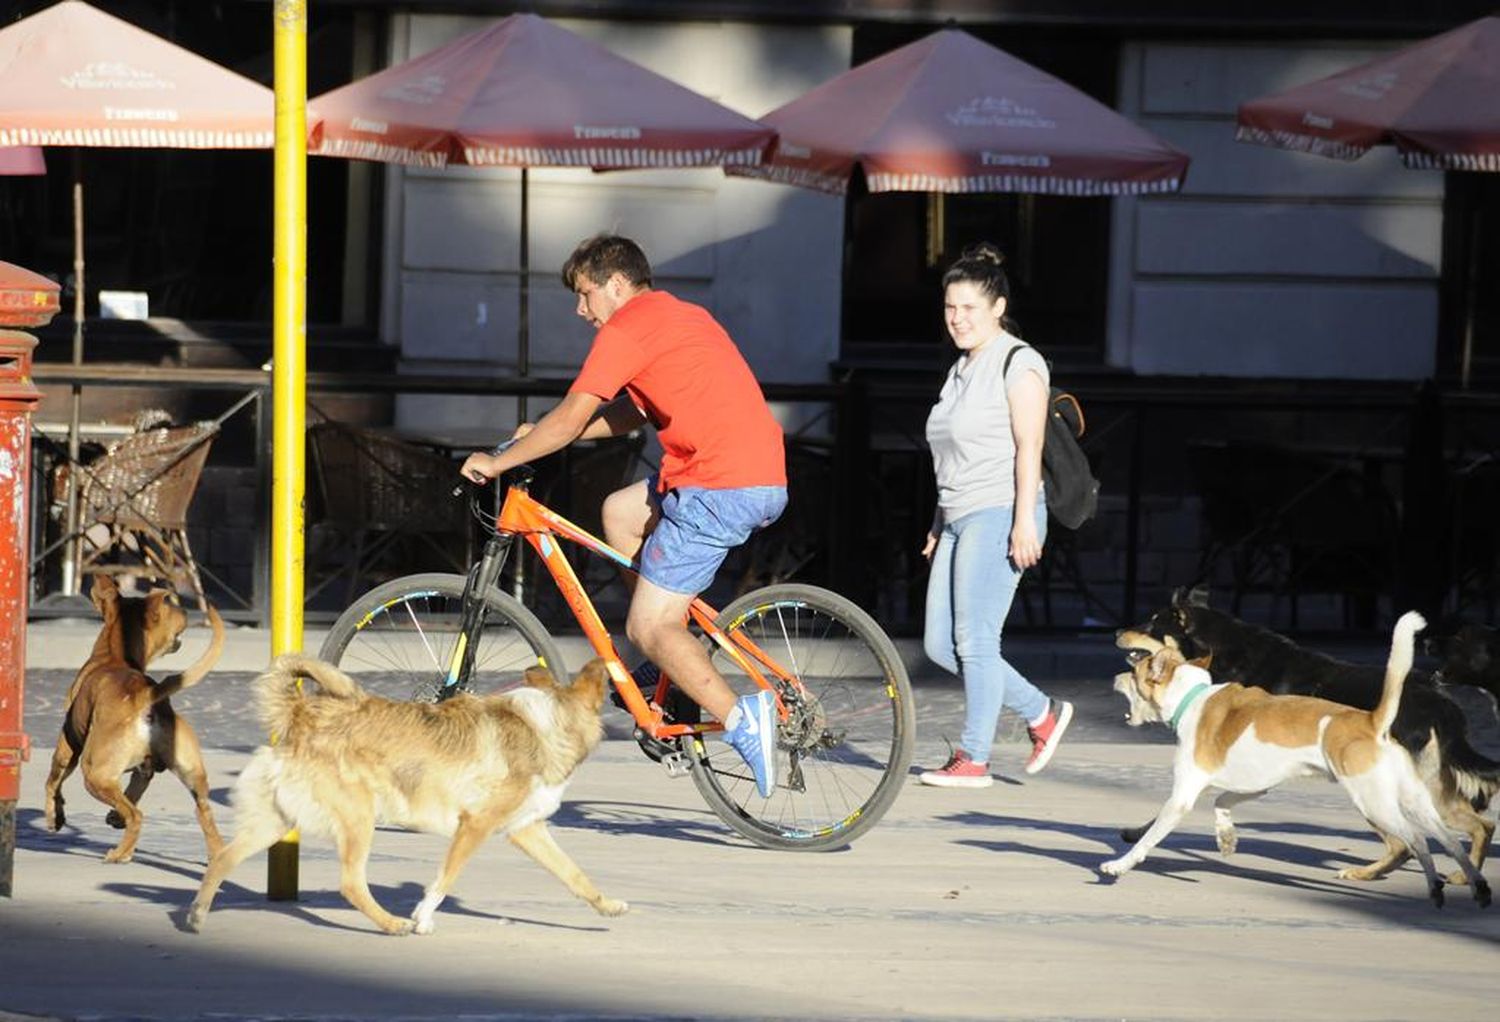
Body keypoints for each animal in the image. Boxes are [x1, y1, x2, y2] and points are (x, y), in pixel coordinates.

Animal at [44, 573, 226, 858]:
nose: (185, 609)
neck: (114, 655)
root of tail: (145, 696)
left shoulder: (67, 745)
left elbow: (53, 783)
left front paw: (55, 817)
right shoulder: (145, 769)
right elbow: (135, 787)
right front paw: (114, 817)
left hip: (93, 773)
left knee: (136, 815)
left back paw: (119, 855)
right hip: (193, 774)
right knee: (203, 812)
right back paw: (217, 856)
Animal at [186, 654, 627, 930]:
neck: (548, 722)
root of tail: (300, 712)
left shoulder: (527, 829)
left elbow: (575, 874)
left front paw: (606, 906)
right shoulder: (474, 826)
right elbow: (443, 881)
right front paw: (422, 919)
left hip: (277, 821)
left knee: (222, 857)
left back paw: (196, 916)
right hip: (358, 818)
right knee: (351, 884)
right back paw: (391, 924)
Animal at [1104, 609, 1488, 906]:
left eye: (1135, 674)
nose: (1115, 677)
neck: (1193, 696)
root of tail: (1371, 720)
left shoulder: (1183, 796)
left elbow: (1152, 835)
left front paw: (1119, 865)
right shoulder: (1254, 787)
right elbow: (1222, 801)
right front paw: (1226, 837)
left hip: (1373, 801)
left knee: (1417, 841)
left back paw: (1434, 886)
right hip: (1415, 799)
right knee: (1450, 840)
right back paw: (1476, 887)